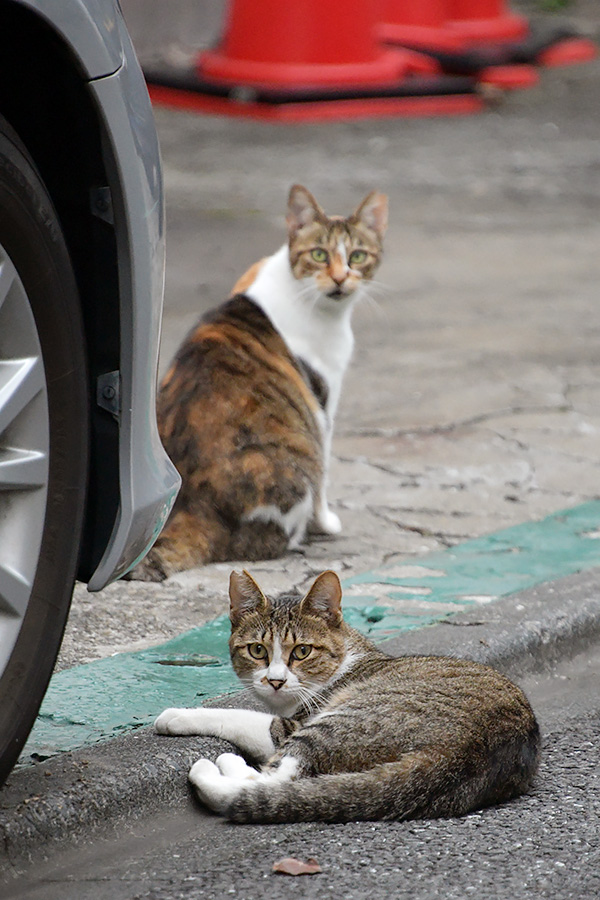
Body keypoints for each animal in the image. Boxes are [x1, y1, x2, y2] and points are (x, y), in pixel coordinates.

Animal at [130, 185, 390, 580]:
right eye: (319, 254)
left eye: (358, 256)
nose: (341, 278)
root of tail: (195, 504)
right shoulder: (323, 401)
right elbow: (326, 474)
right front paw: (326, 523)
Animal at [154, 568, 540, 824]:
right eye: (258, 650)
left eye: (302, 651)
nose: (276, 680)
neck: (347, 656)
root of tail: (463, 751)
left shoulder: (292, 723)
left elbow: (239, 716)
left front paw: (177, 715)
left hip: (343, 719)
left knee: (273, 779)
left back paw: (219, 767)